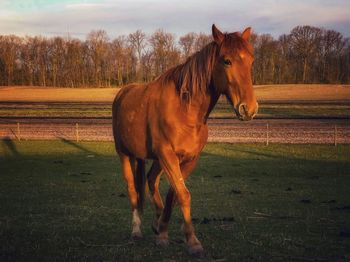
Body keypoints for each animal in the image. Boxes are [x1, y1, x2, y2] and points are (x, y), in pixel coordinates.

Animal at [112, 24, 258, 254]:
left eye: (251, 61)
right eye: (227, 60)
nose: (248, 109)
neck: (185, 110)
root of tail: (122, 93)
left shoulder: (188, 159)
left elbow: (174, 194)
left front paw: (163, 231)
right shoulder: (167, 155)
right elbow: (184, 194)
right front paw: (192, 240)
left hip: (154, 159)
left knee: (151, 180)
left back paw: (156, 223)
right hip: (125, 154)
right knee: (132, 189)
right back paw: (136, 230)